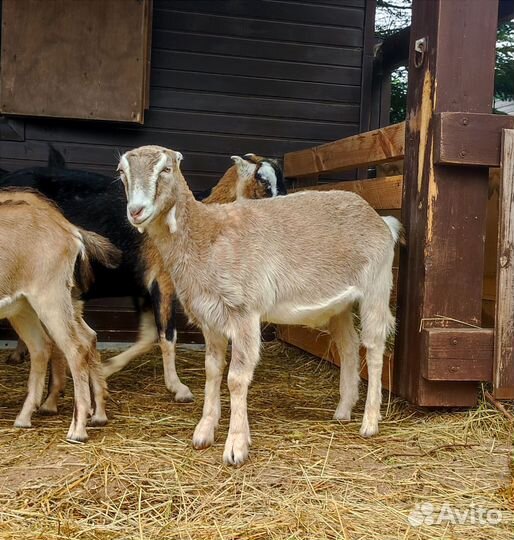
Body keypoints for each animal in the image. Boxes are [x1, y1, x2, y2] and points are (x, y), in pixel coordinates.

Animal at [119, 146, 400, 466]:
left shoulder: (244, 312)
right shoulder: (209, 318)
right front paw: (204, 431)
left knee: (374, 347)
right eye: (121, 172)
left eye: (166, 169)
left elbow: (236, 378)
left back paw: (370, 422)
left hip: (376, 286)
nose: (136, 211)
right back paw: (343, 411)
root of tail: (381, 220)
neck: (209, 234)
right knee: (349, 347)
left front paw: (236, 446)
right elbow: (212, 370)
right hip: (340, 305)